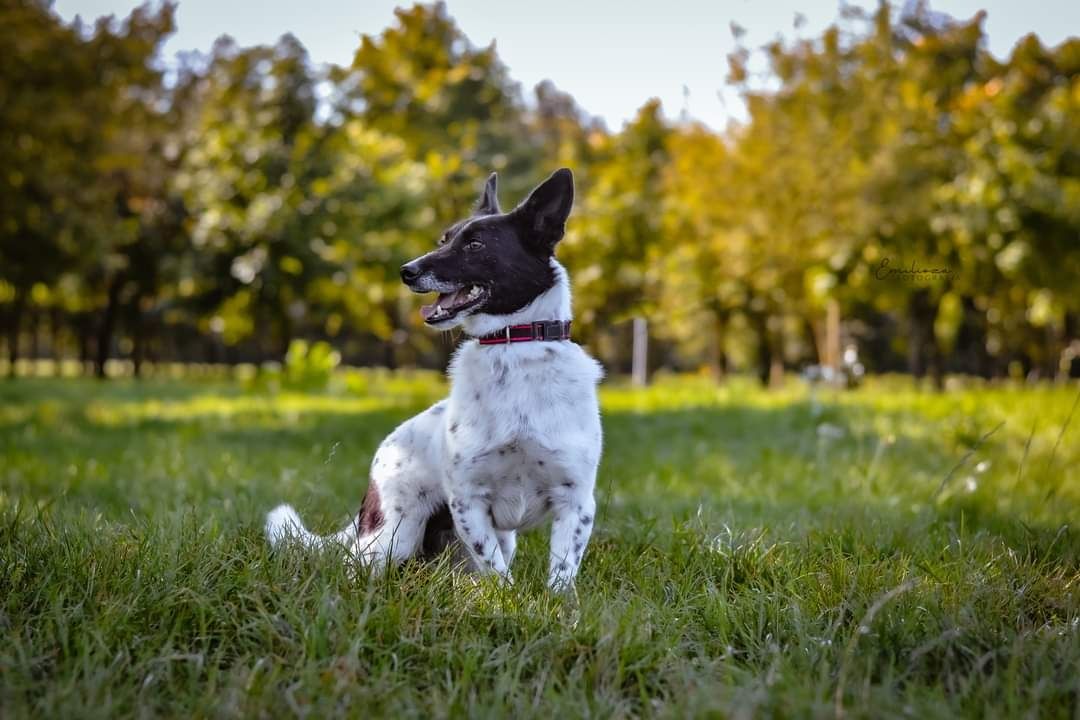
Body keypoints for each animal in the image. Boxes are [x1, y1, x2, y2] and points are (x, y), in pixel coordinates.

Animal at [265, 169, 604, 591]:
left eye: (474, 245)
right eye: (444, 240)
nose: (406, 271)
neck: (513, 346)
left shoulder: (576, 502)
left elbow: (561, 572)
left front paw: (555, 605)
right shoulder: (469, 502)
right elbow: (496, 571)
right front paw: (509, 602)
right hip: (394, 537)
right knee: (353, 566)